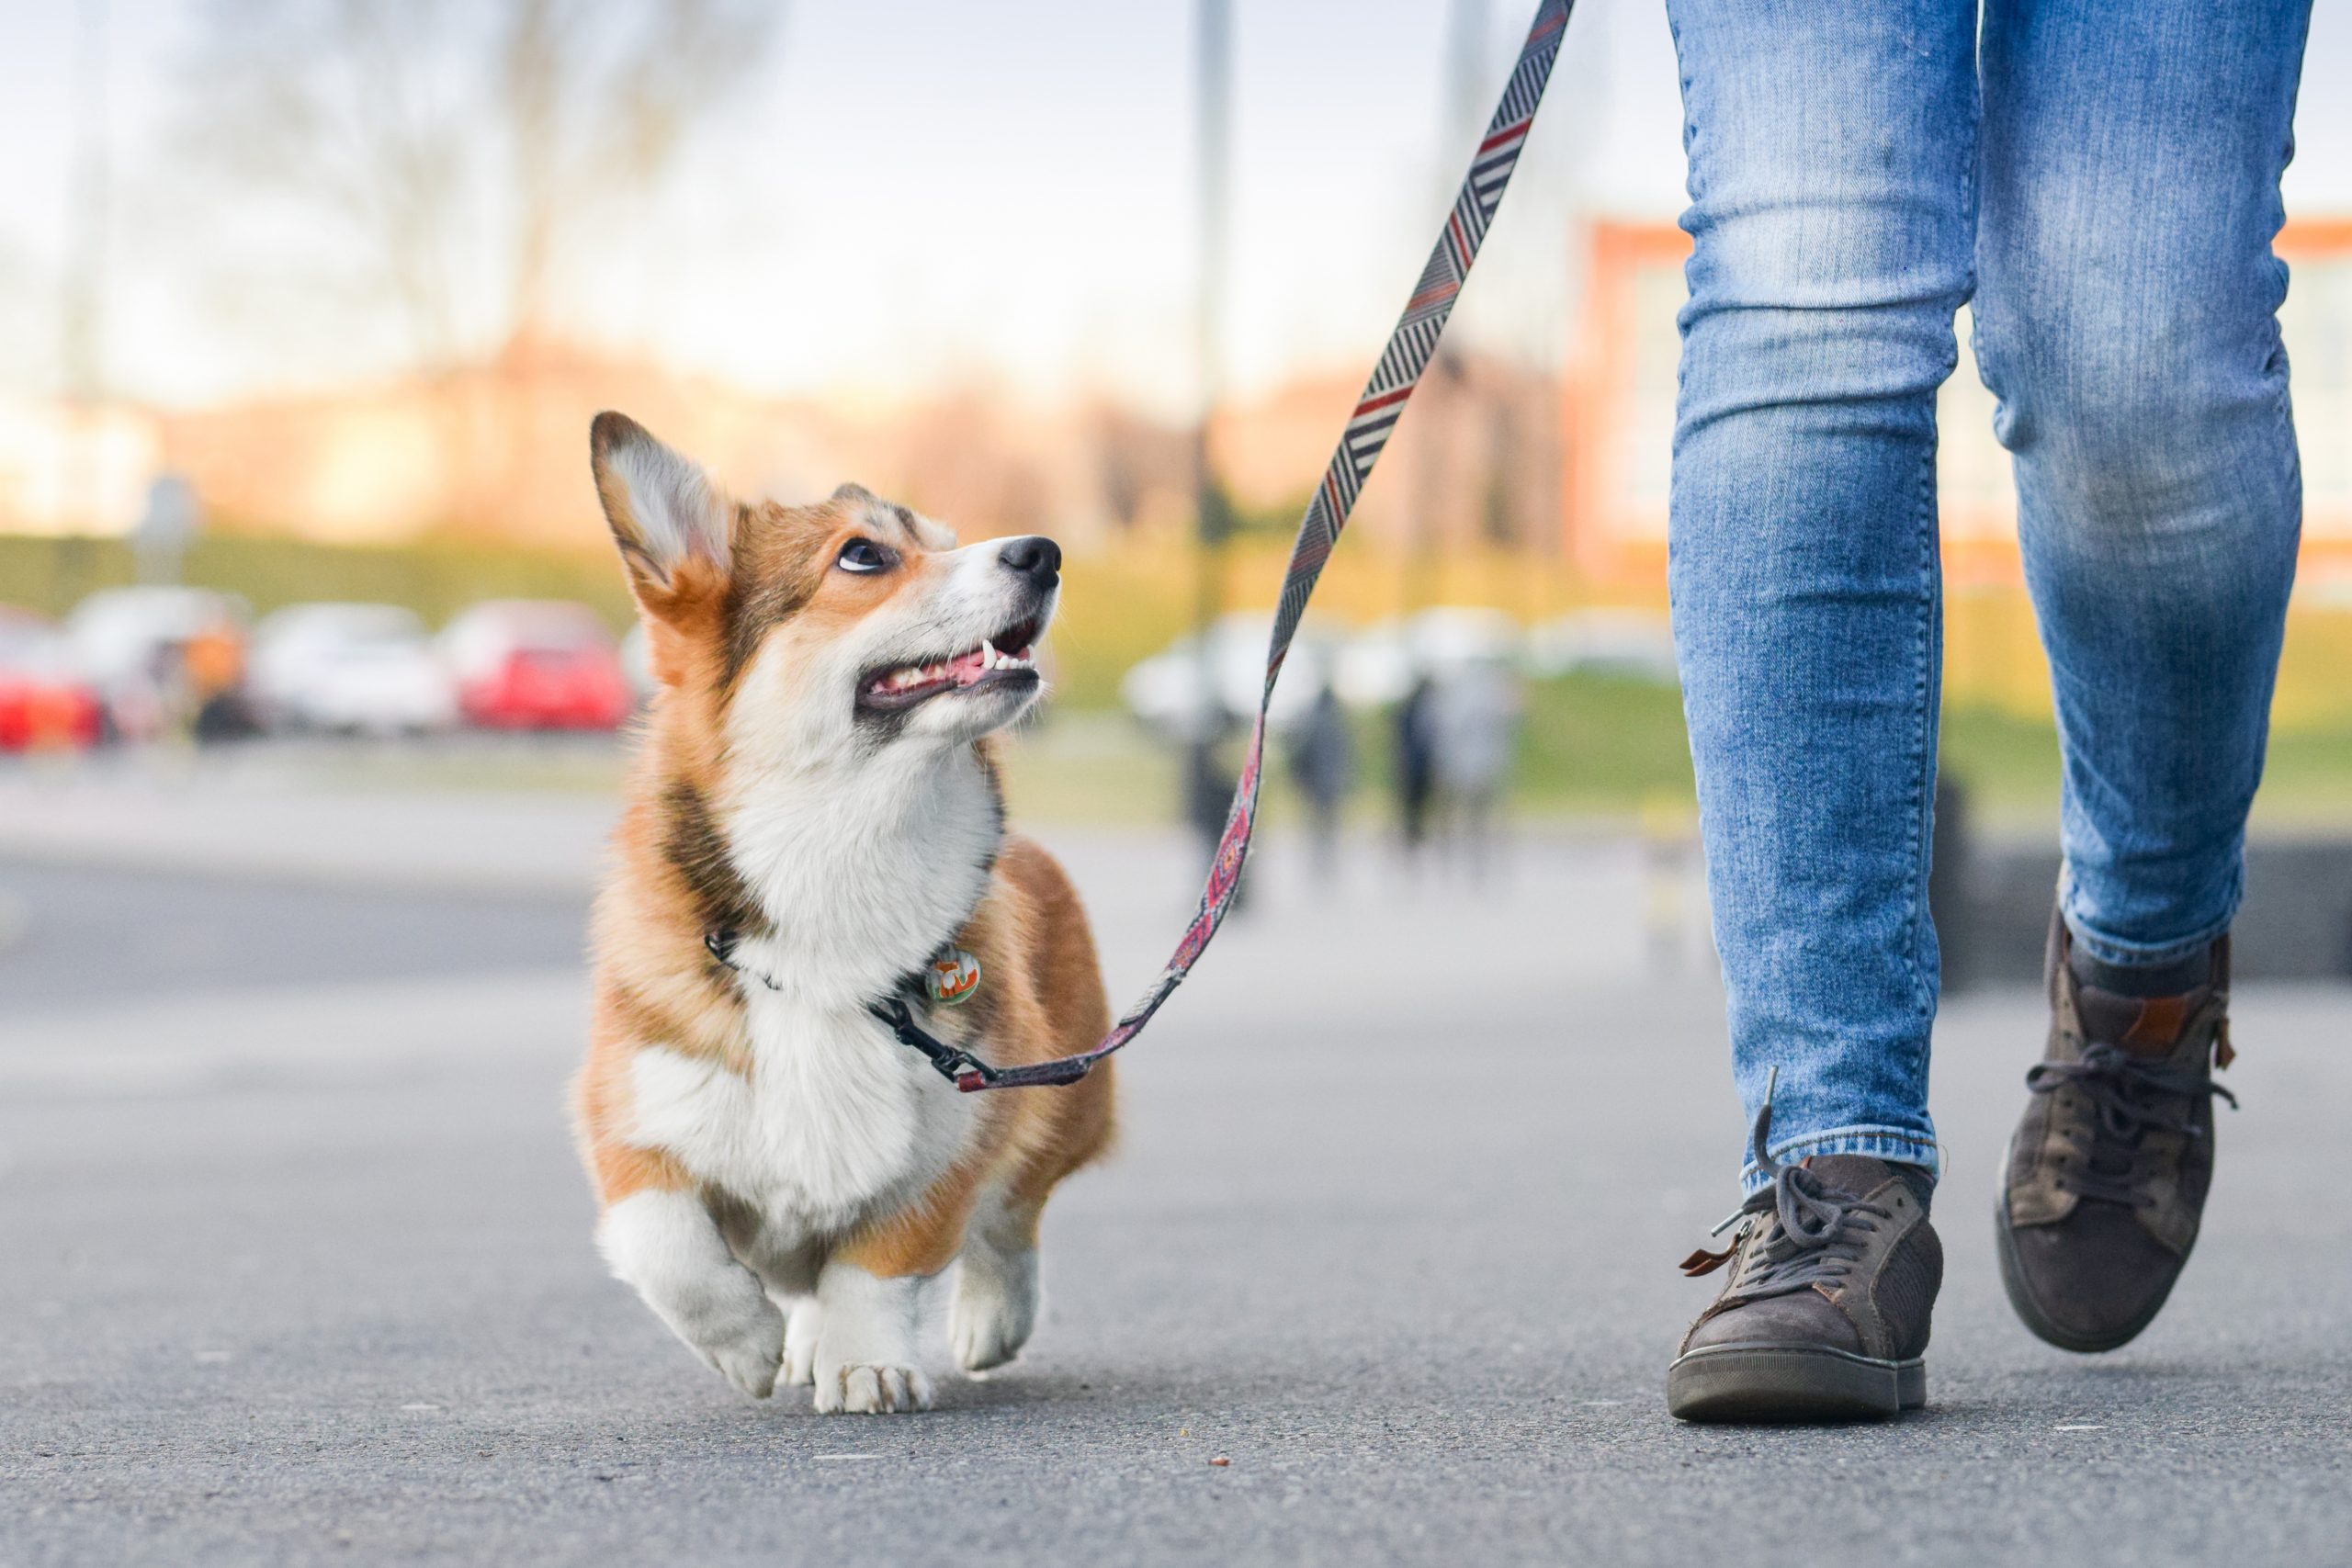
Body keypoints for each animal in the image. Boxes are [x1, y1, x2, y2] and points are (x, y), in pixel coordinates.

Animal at [573, 411, 1114, 1419]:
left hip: (1065, 1096)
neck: (841, 851)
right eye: (864, 554)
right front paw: (747, 1345)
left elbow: (880, 1262)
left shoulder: (958, 1128)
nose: (1043, 551)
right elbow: (668, 1245)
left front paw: (866, 1363)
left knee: (1013, 1217)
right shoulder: (630, 1119)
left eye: (947, 539)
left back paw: (988, 1319)